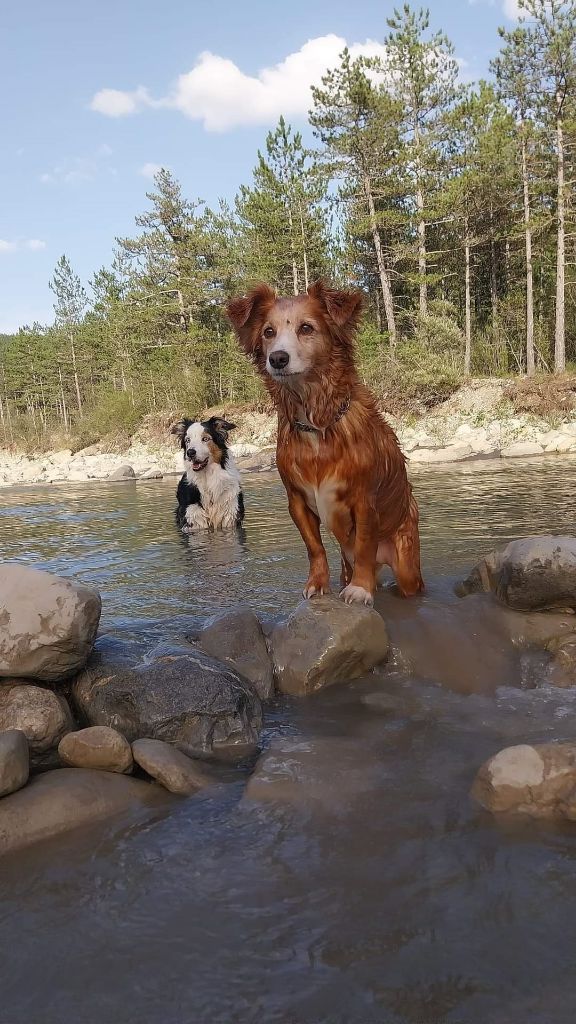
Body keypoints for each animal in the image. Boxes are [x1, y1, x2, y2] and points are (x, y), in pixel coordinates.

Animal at [226, 280, 424, 602]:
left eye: (306, 328)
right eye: (268, 332)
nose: (277, 358)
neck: (316, 425)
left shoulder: (365, 502)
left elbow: (365, 546)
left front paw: (360, 588)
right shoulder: (297, 501)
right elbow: (314, 547)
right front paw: (317, 583)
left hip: (407, 566)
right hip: (346, 561)